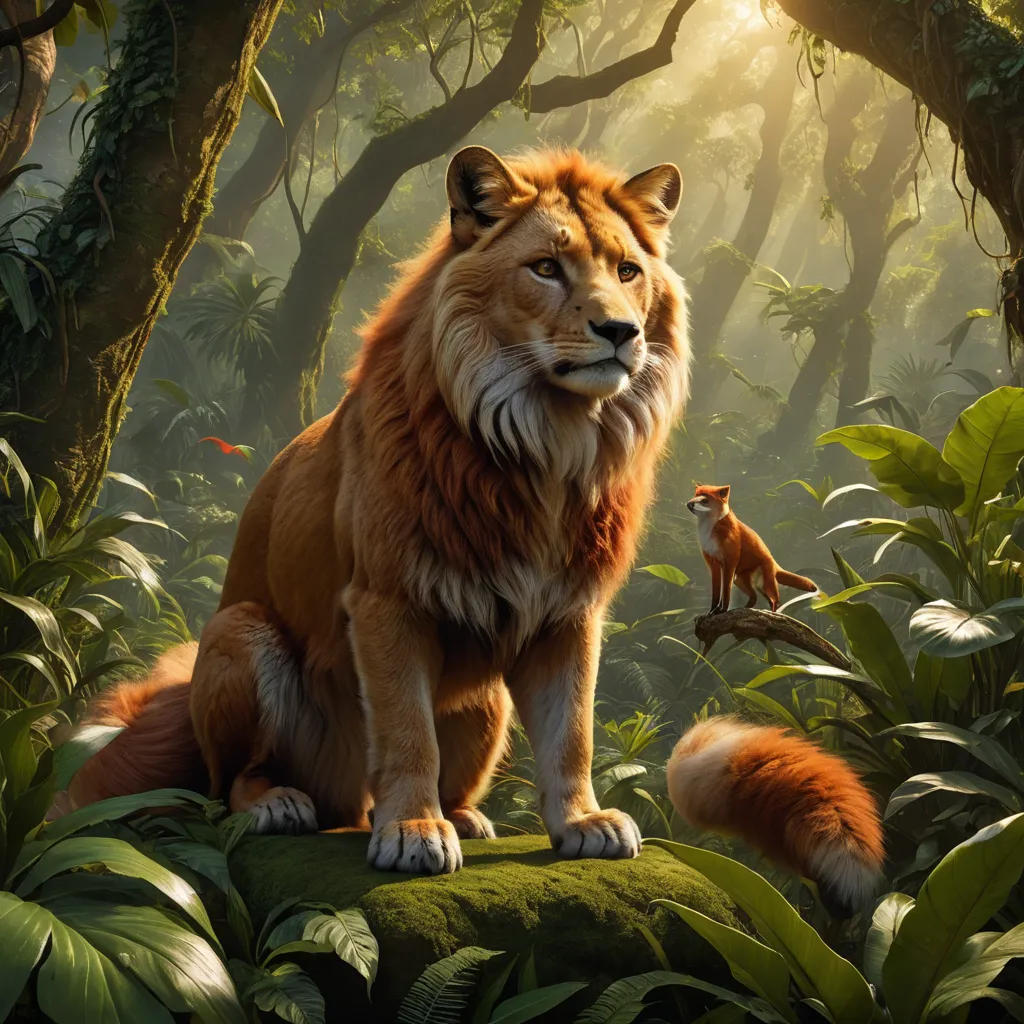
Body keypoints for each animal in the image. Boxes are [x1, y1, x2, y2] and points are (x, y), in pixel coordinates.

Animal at [69, 146, 690, 873]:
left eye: (627, 271)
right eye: (545, 268)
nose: (620, 331)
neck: (547, 442)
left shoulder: (570, 613)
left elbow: (572, 731)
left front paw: (583, 821)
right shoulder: (387, 600)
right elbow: (406, 728)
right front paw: (414, 831)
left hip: (488, 703)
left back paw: (466, 816)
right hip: (239, 634)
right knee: (230, 785)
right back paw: (282, 805)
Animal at [686, 484, 817, 613]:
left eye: (704, 500)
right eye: (695, 496)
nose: (688, 504)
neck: (709, 531)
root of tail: (775, 564)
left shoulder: (730, 562)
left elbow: (726, 592)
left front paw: (722, 610)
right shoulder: (714, 564)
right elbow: (716, 593)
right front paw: (712, 612)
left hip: (765, 584)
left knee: (775, 601)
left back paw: (772, 613)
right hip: (742, 581)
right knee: (755, 597)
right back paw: (744, 609)